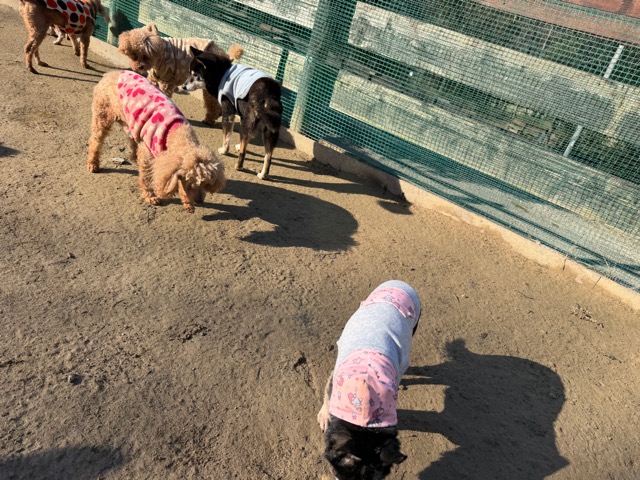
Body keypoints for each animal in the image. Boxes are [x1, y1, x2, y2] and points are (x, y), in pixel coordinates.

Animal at [87, 70, 226, 213]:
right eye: (190, 183)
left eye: (205, 183)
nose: (199, 200)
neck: (175, 133)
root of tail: (110, 73)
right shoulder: (148, 156)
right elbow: (147, 178)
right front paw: (150, 196)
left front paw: (187, 203)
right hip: (102, 116)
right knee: (95, 141)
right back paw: (93, 164)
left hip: (129, 122)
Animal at [182, 47, 283, 180]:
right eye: (189, 73)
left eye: (195, 75)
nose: (183, 86)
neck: (222, 73)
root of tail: (269, 92)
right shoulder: (243, 115)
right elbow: (246, 139)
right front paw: (238, 145)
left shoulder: (228, 112)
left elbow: (226, 135)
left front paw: (224, 150)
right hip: (270, 128)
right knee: (269, 156)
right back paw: (263, 174)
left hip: (250, 123)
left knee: (244, 151)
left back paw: (239, 166)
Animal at [316, 280, 422, 479]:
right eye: (338, 477)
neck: (364, 423)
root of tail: (400, 283)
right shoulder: (335, 378)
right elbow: (327, 394)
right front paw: (325, 416)